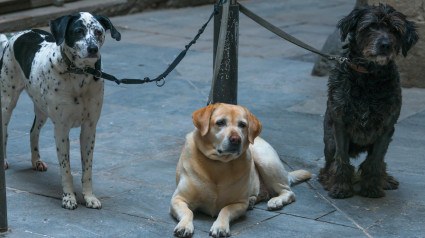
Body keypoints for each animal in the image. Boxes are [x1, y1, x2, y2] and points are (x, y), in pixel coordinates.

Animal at [0, 12, 121, 208]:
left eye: (98, 31)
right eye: (78, 31)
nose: (93, 48)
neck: (79, 76)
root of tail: (18, 34)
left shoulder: (89, 128)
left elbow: (87, 169)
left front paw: (89, 196)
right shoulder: (61, 129)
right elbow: (66, 169)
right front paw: (69, 197)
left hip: (41, 108)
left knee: (33, 131)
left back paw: (36, 160)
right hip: (7, 103)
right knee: (5, 132)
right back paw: (3, 160)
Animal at [169, 103, 312, 238]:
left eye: (242, 125)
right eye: (220, 122)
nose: (236, 139)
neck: (219, 165)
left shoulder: (239, 203)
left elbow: (225, 209)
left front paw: (220, 226)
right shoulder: (178, 199)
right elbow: (188, 212)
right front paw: (184, 226)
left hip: (265, 160)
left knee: (288, 192)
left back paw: (276, 201)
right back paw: (253, 200)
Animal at [318, 4, 418, 199]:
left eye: (395, 30)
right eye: (371, 26)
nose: (385, 45)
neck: (369, 77)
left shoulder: (386, 128)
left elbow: (375, 161)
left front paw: (372, 187)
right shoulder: (340, 124)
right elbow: (341, 159)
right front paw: (341, 187)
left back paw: (385, 180)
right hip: (330, 139)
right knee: (329, 163)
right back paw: (327, 178)